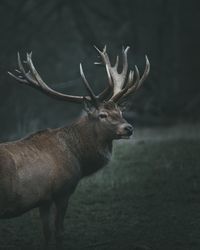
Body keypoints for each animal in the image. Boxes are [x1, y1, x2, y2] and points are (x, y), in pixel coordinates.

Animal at [0, 46, 150, 249]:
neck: (78, 158)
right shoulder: (62, 191)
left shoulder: (43, 200)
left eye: (120, 111)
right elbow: (59, 232)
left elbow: (46, 234)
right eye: (102, 115)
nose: (129, 128)